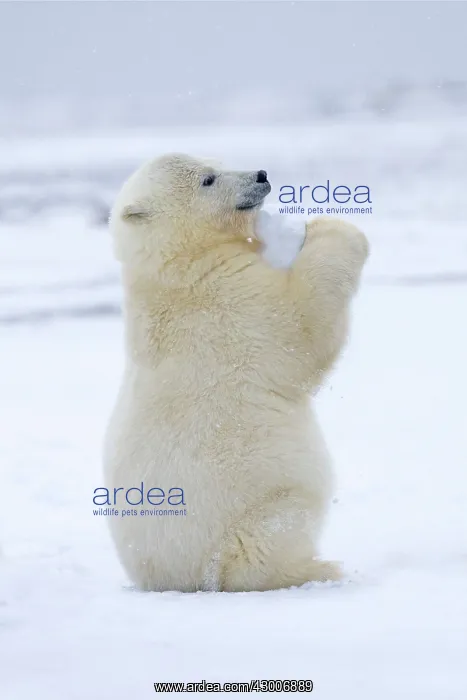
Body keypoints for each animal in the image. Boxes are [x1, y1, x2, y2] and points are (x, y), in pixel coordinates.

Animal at [103, 153, 369, 592]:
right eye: (209, 180)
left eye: (214, 161)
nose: (260, 175)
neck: (177, 268)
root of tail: (176, 580)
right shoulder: (227, 301)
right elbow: (300, 329)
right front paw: (331, 228)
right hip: (252, 511)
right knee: (269, 542)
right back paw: (321, 569)